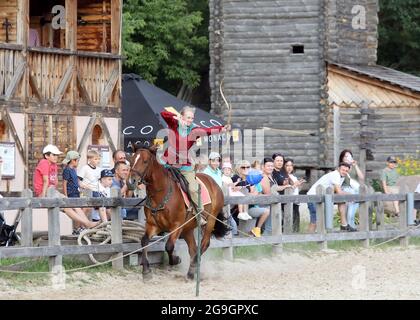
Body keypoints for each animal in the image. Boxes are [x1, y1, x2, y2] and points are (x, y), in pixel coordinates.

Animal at [130, 146, 230, 280]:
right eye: (131, 160)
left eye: (145, 161)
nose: (132, 180)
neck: (161, 193)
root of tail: (214, 183)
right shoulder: (153, 225)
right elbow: (144, 241)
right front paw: (146, 271)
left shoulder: (176, 226)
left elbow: (169, 246)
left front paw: (176, 260)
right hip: (188, 228)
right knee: (193, 249)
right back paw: (192, 271)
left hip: (210, 221)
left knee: (203, 244)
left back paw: (193, 267)